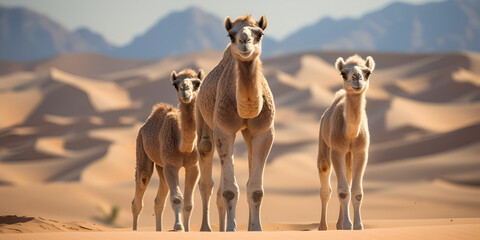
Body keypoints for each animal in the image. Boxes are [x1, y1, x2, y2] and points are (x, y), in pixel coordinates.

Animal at [132, 68, 205, 232]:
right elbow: (177, 198)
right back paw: (134, 230)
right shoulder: (171, 165)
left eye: (197, 83)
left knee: (159, 199)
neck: (183, 147)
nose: (184, 89)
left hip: (160, 165)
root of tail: (144, 126)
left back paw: (159, 230)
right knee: (141, 185)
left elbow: (188, 203)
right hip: (141, 147)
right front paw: (178, 227)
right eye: (175, 84)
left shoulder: (193, 166)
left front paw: (187, 229)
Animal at [195, 14, 274, 231]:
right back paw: (207, 228)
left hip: (247, 134)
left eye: (260, 33)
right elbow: (229, 191)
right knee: (206, 158)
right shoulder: (223, 130)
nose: (244, 41)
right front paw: (231, 229)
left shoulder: (264, 132)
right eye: (231, 35)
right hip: (202, 116)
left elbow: (255, 190)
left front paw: (256, 229)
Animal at [316, 54, 376, 231]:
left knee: (348, 179)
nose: (357, 78)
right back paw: (323, 226)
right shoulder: (337, 151)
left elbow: (356, 192)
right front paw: (348, 225)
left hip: (349, 156)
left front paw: (357, 226)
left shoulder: (361, 152)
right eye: (343, 73)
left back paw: (339, 224)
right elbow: (343, 191)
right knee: (325, 182)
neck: (350, 135)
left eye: (368, 72)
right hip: (324, 144)